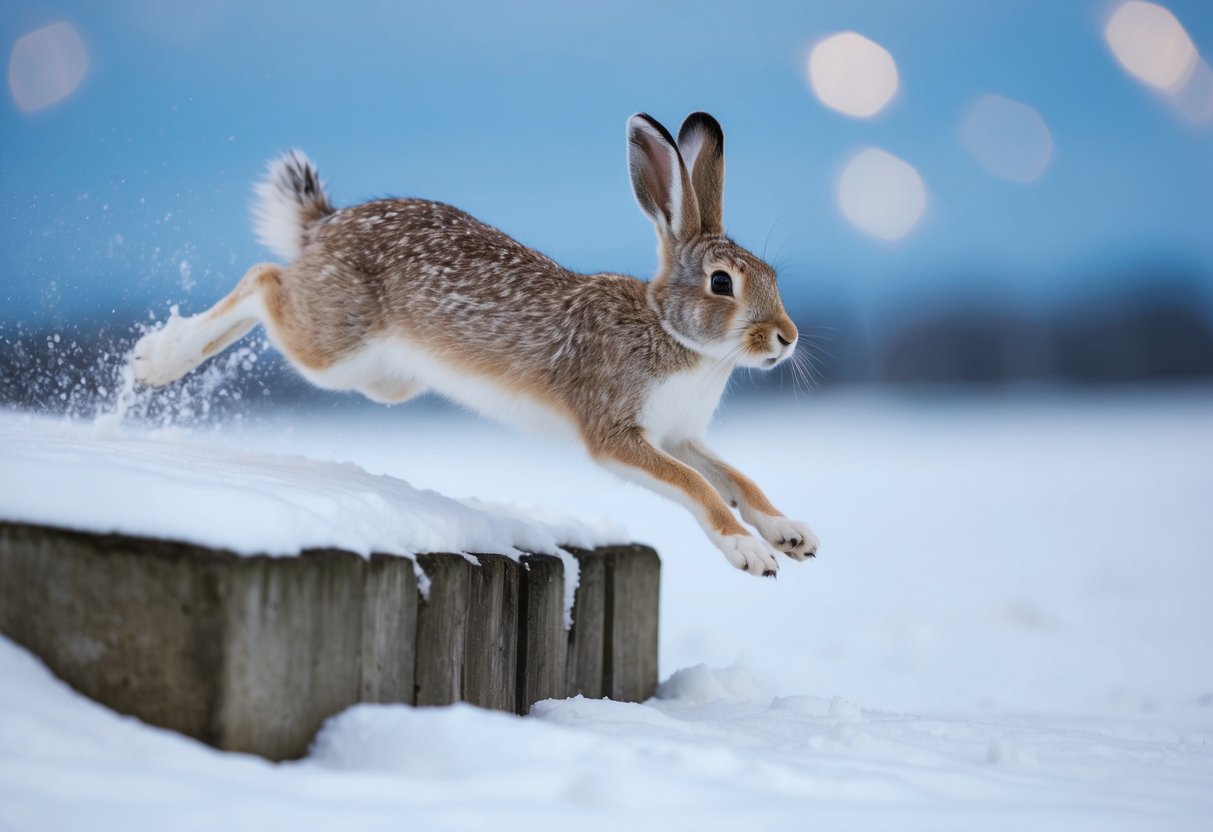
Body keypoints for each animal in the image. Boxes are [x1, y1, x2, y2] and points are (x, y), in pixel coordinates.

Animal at [131, 112, 818, 576]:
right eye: (722, 283)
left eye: (772, 276)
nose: (786, 339)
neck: (672, 331)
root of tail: (321, 226)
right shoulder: (617, 432)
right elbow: (698, 487)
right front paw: (749, 552)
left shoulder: (679, 435)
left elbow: (734, 477)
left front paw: (791, 535)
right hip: (333, 346)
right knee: (264, 280)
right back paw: (156, 360)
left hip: (383, 380)